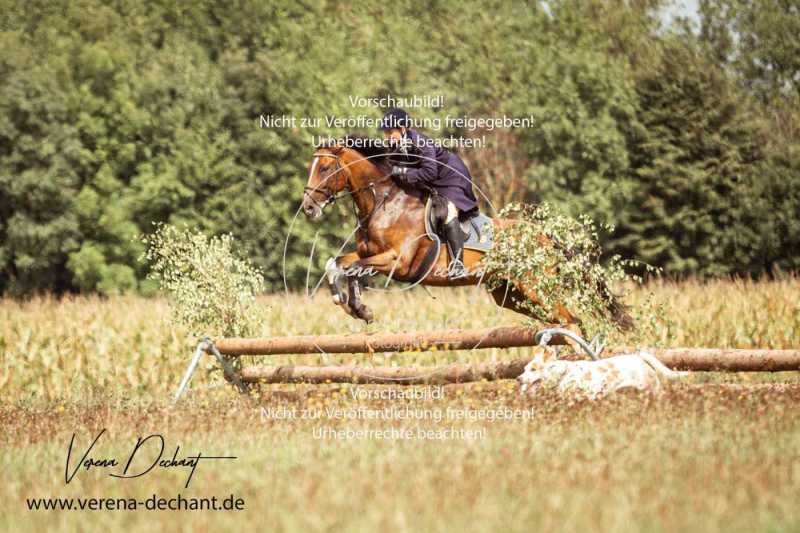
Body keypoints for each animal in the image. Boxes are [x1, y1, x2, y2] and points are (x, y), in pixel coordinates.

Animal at [300, 133, 632, 332]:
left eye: (325, 168)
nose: (308, 208)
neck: (384, 202)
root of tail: (543, 237)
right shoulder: (367, 254)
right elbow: (338, 264)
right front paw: (355, 307)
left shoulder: (397, 262)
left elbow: (352, 268)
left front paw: (355, 306)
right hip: (512, 294)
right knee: (564, 318)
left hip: (535, 287)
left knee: (570, 318)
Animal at [520, 348, 688, 396]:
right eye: (524, 369)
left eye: (534, 369)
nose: (518, 378)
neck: (563, 375)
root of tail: (639, 356)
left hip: (653, 390)